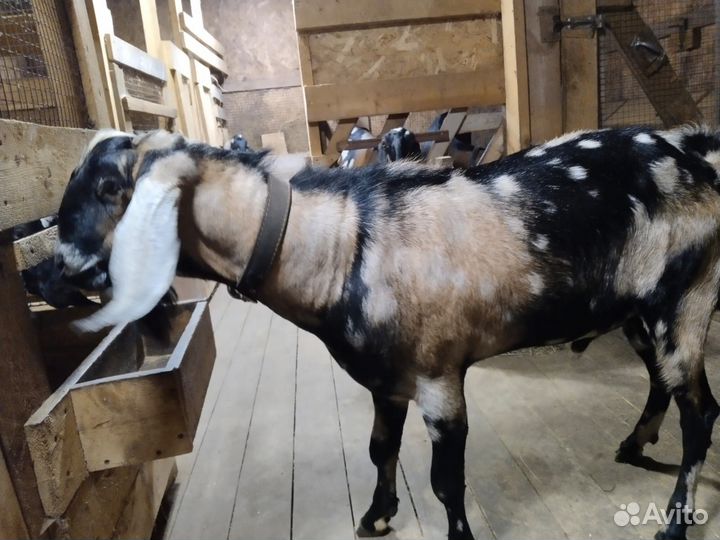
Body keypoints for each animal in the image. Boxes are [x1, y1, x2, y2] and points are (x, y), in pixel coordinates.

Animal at [55, 126, 720, 540]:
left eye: (108, 188)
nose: (48, 272)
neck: (344, 245)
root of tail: (698, 159)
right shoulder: (387, 382)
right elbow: (380, 449)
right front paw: (376, 517)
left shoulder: (439, 377)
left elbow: (446, 483)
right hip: (639, 314)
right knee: (662, 384)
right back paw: (634, 444)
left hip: (685, 301)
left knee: (700, 411)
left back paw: (674, 521)